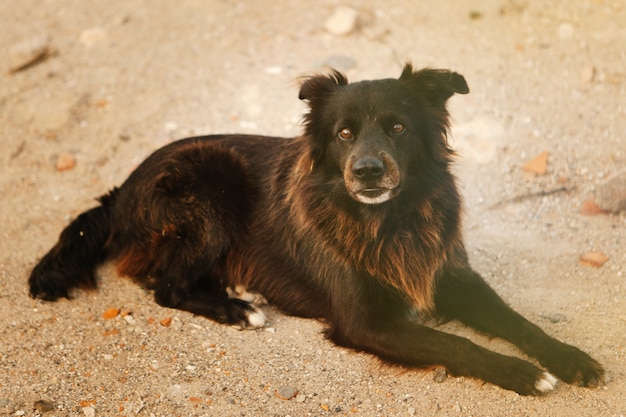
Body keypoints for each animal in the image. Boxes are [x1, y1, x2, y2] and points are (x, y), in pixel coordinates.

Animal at [30, 64, 604, 394]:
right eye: (344, 134)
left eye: (398, 127)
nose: (366, 171)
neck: (387, 220)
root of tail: (121, 191)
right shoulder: (364, 323)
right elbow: (456, 346)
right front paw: (523, 374)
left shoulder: (450, 276)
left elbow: (518, 321)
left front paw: (568, 358)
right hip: (210, 188)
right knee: (167, 287)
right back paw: (237, 307)